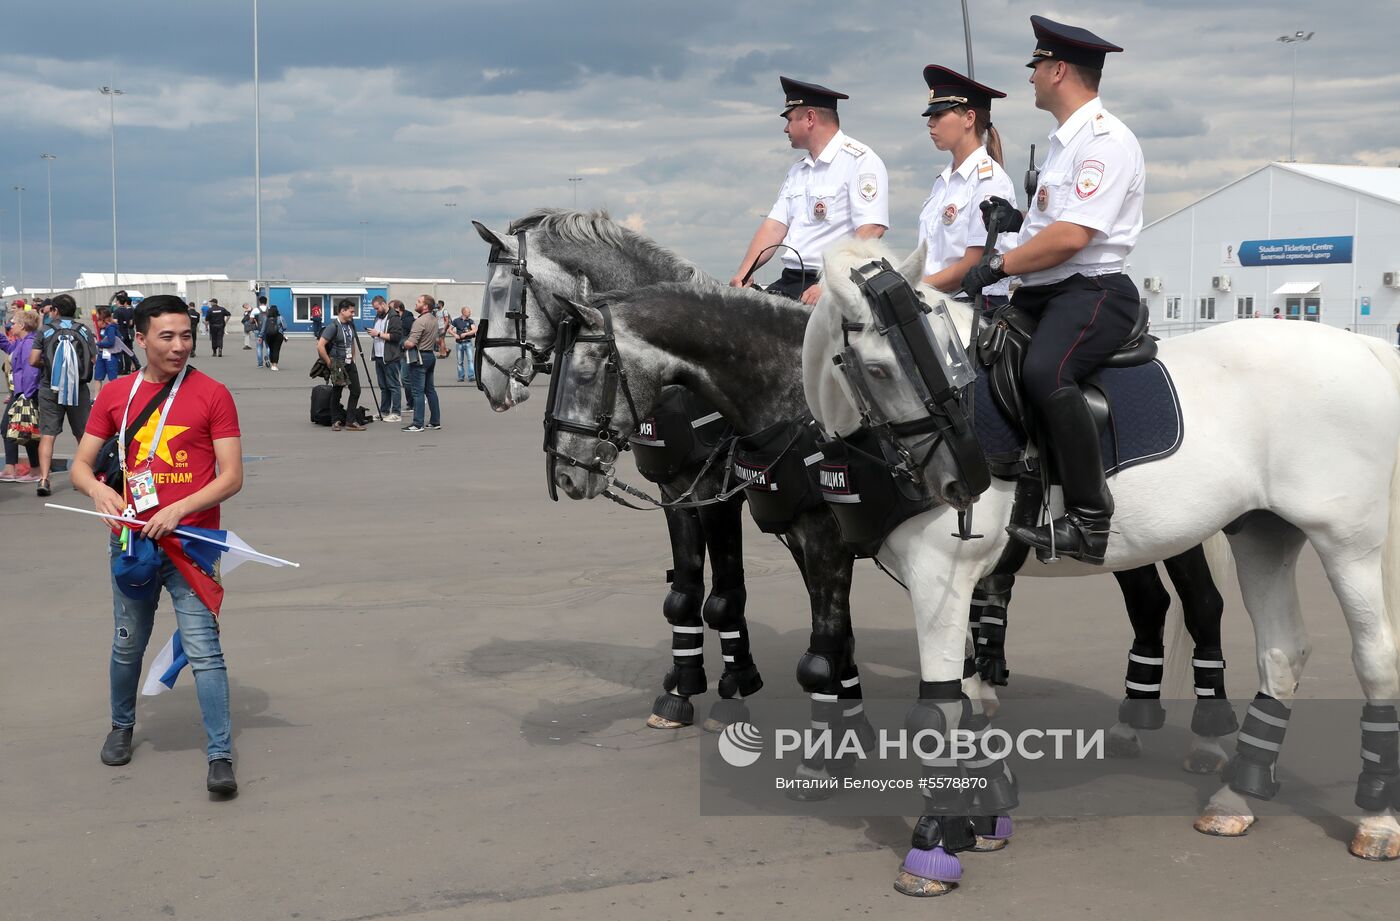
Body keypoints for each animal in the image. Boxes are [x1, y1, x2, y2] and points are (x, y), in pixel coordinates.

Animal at [806, 236, 1400, 873]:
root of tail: (1365, 348)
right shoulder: (937, 583)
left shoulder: (942, 577)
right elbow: (962, 697)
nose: (964, 479)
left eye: (949, 355)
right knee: (1283, 653)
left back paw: (1377, 815)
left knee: (1374, 656)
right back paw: (1239, 792)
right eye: (879, 369)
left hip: (1346, 540)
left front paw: (933, 845)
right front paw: (983, 809)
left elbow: (936, 710)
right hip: (1264, 533)